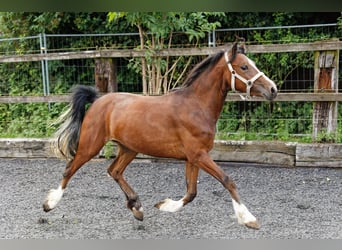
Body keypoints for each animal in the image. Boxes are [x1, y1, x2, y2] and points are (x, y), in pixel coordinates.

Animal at [42, 36, 278, 229]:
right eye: (244, 66)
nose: (273, 89)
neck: (196, 106)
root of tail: (98, 100)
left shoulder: (193, 157)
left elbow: (191, 192)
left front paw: (164, 205)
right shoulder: (198, 155)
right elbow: (227, 180)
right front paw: (249, 219)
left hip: (129, 148)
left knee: (114, 171)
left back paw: (137, 208)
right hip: (91, 145)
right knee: (70, 169)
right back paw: (49, 204)